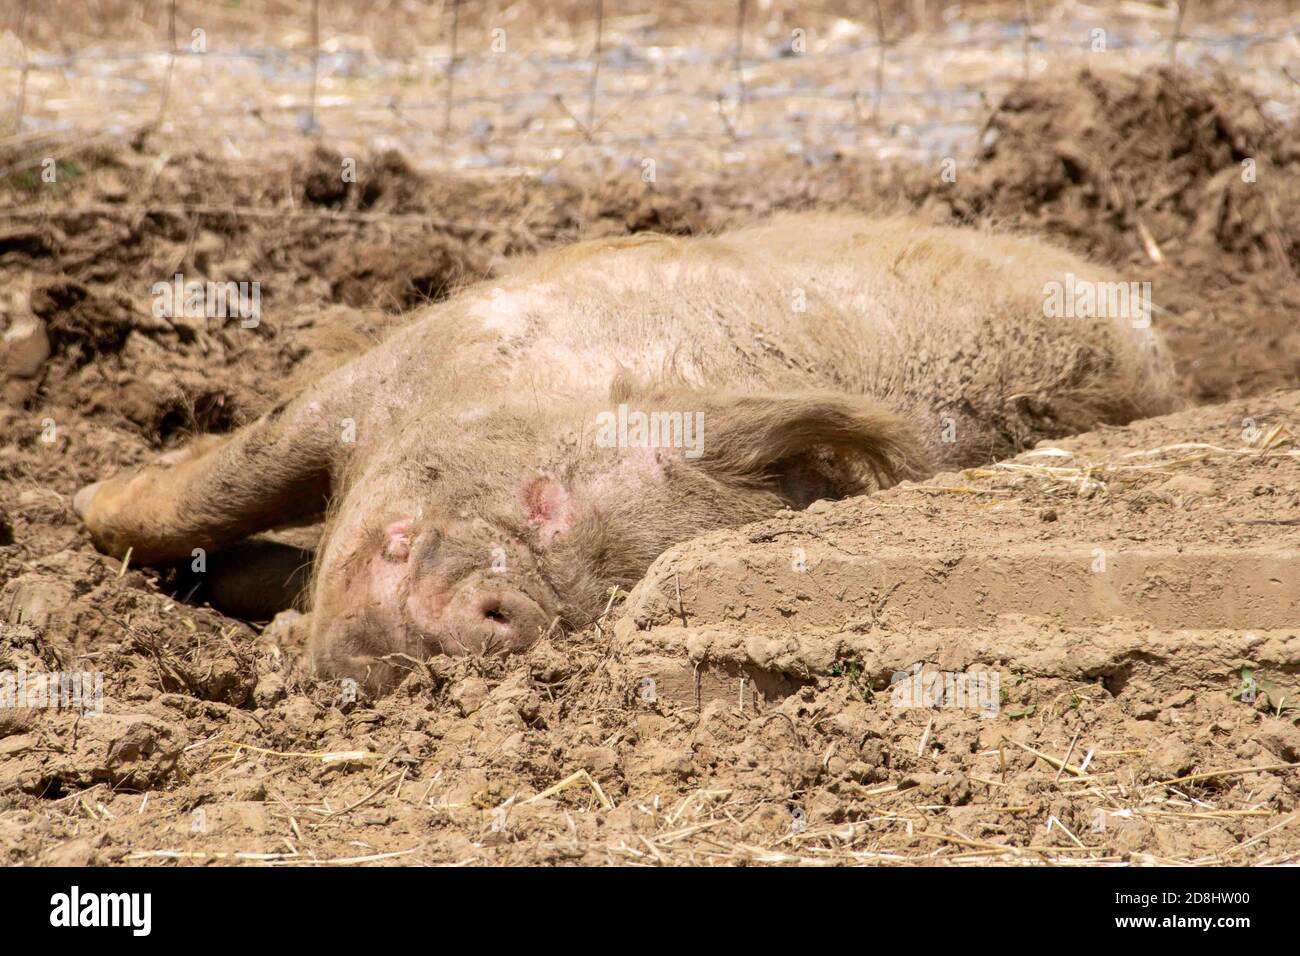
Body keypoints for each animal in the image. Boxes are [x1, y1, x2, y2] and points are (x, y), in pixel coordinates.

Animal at [76, 214, 1185, 697]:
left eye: (605, 605)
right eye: (543, 498)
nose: (514, 611)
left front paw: (267, 623)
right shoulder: (401, 360)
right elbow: (226, 479)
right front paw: (84, 505)